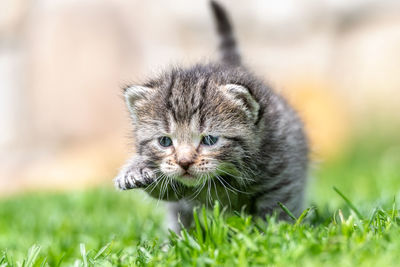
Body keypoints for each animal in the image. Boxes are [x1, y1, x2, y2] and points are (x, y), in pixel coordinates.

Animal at [114, 0, 308, 232]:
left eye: (209, 140)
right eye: (164, 141)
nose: (184, 162)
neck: (221, 178)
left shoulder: (282, 174)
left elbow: (278, 208)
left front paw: (275, 232)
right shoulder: (178, 190)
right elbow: (167, 187)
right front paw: (136, 169)